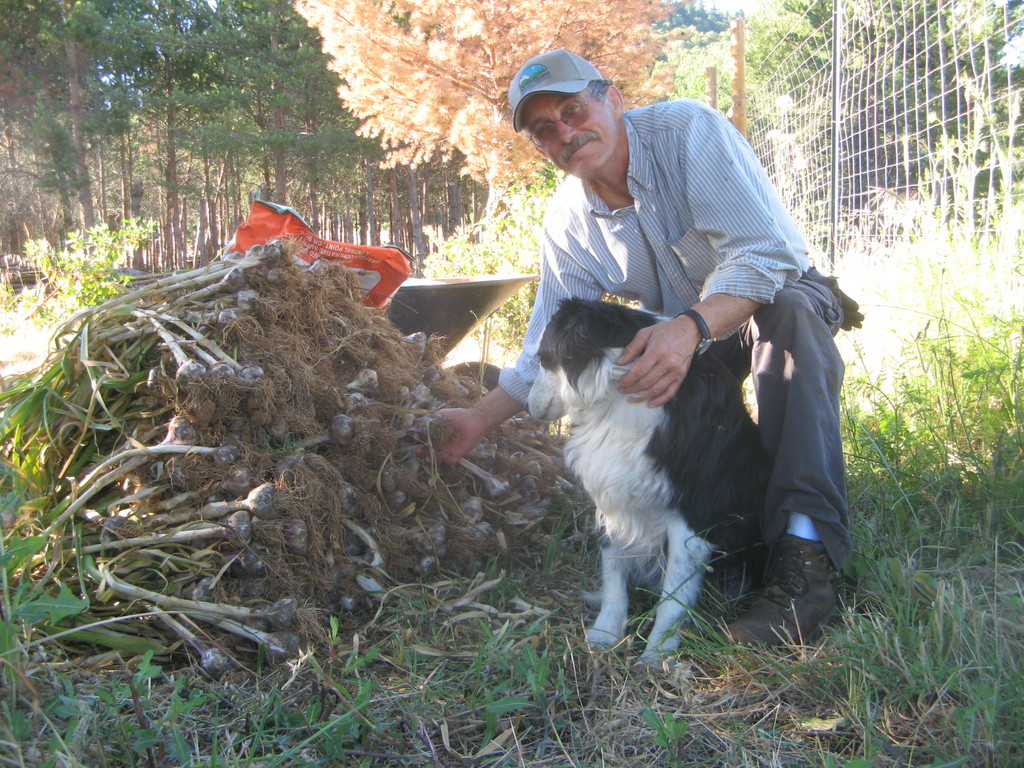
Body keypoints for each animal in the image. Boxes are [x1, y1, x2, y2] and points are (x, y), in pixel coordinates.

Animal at [528, 298, 770, 661]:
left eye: (543, 358)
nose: (530, 408)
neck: (619, 396)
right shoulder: (612, 491)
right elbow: (613, 569)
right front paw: (604, 633)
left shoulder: (692, 515)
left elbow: (674, 594)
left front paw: (658, 653)